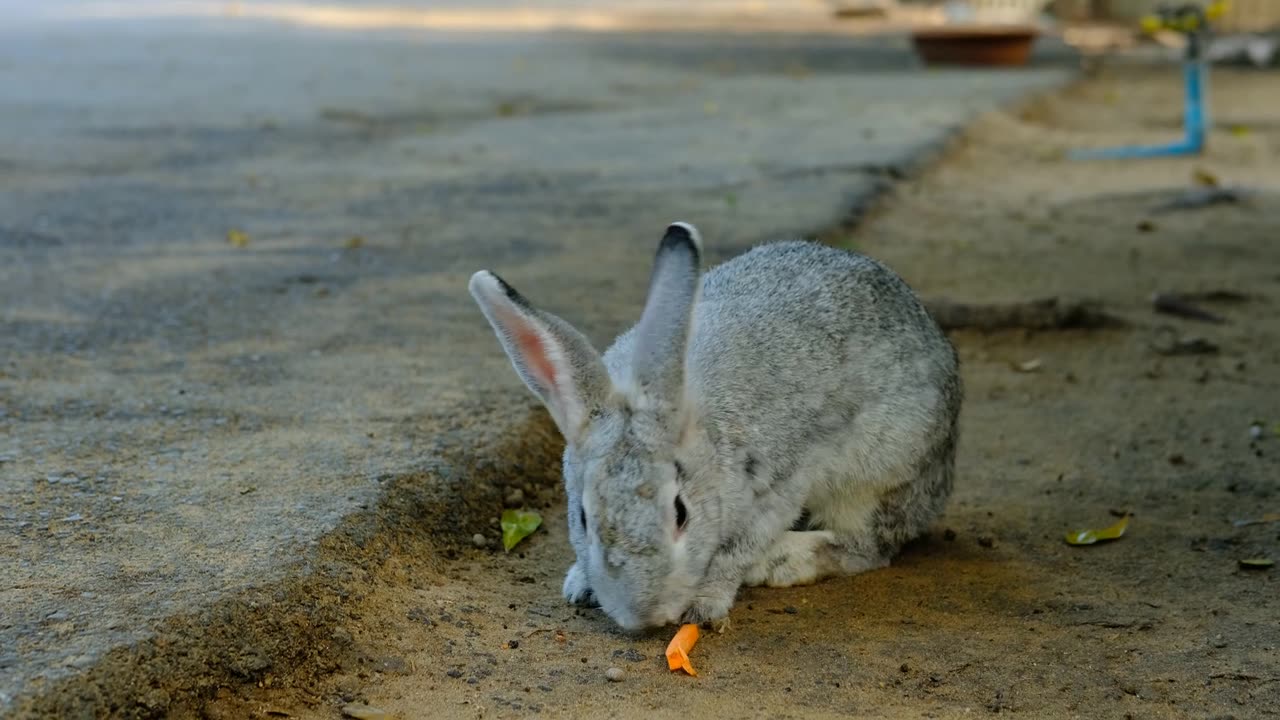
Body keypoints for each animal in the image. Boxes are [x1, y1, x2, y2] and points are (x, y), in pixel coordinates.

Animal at [471, 221, 962, 630]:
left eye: (681, 513)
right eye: (582, 518)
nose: (642, 617)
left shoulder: (781, 484)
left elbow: (735, 550)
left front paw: (703, 605)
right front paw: (581, 583)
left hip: (877, 473)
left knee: (867, 546)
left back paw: (780, 561)